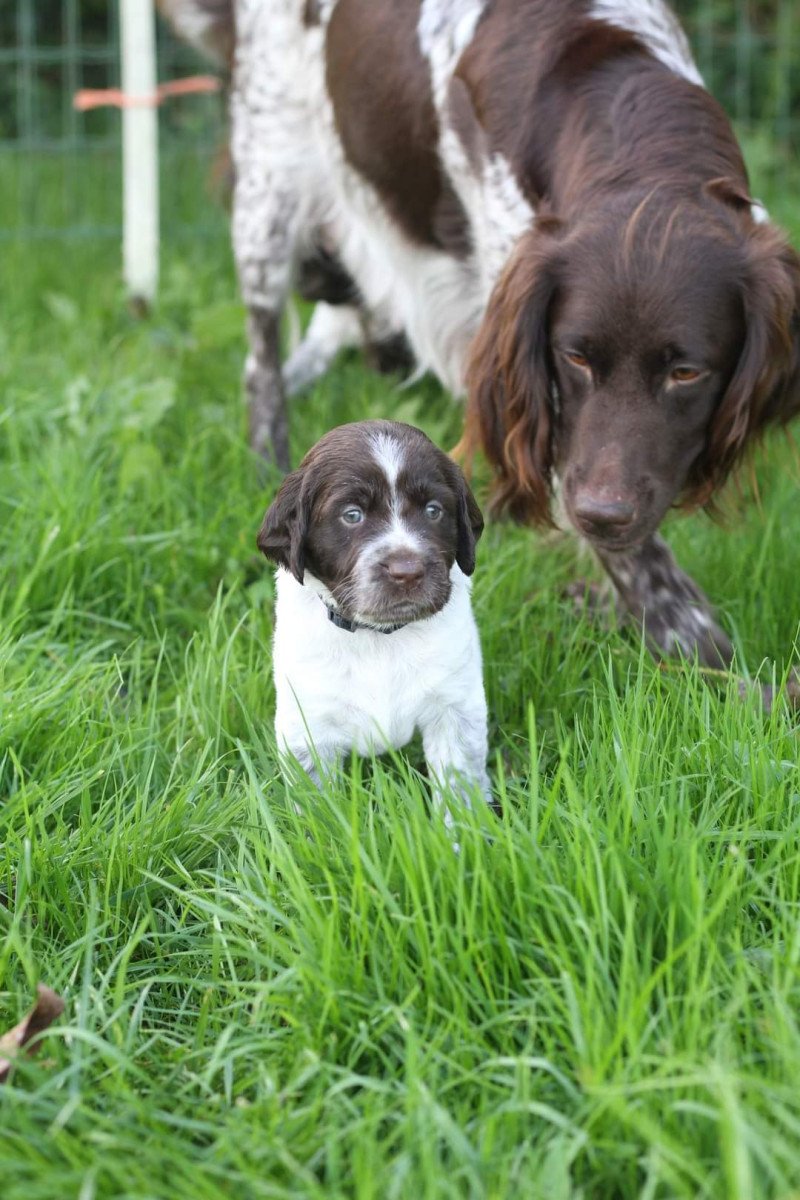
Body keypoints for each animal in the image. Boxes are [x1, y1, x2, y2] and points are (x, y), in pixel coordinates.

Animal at [260, 415, 491, 825]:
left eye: (434, 511)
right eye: (352, 515)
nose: (407, 572)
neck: (378, 636)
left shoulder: (455, 706)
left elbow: (458, 785)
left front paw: (462, 838)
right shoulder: (308, 722)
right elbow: (316, 803)